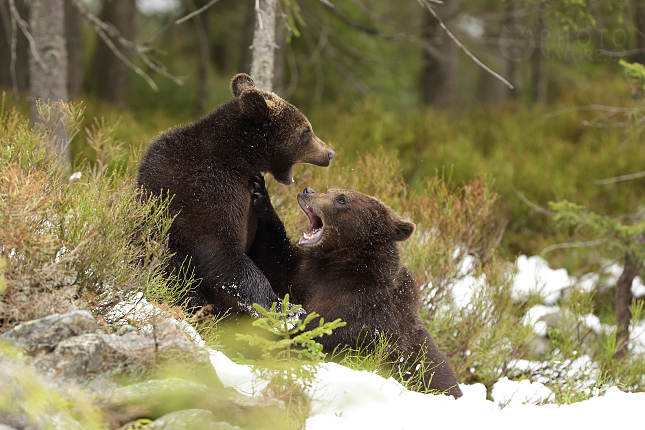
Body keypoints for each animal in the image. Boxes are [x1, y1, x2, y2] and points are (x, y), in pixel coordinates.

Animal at [138, 74, 334, 316]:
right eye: (306, 132)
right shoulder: (208, 191)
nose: (330, 153)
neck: (239, 160)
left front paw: (262, 193)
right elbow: (221, 250)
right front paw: (283, 306)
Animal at [247, 176, 462, 398]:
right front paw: (260, 192)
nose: (308, 190)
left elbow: (315, 331)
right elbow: (275, 260)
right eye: (330, 191)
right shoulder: (306, 276)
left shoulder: (356, 307)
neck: (340, 264)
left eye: (342, 199)